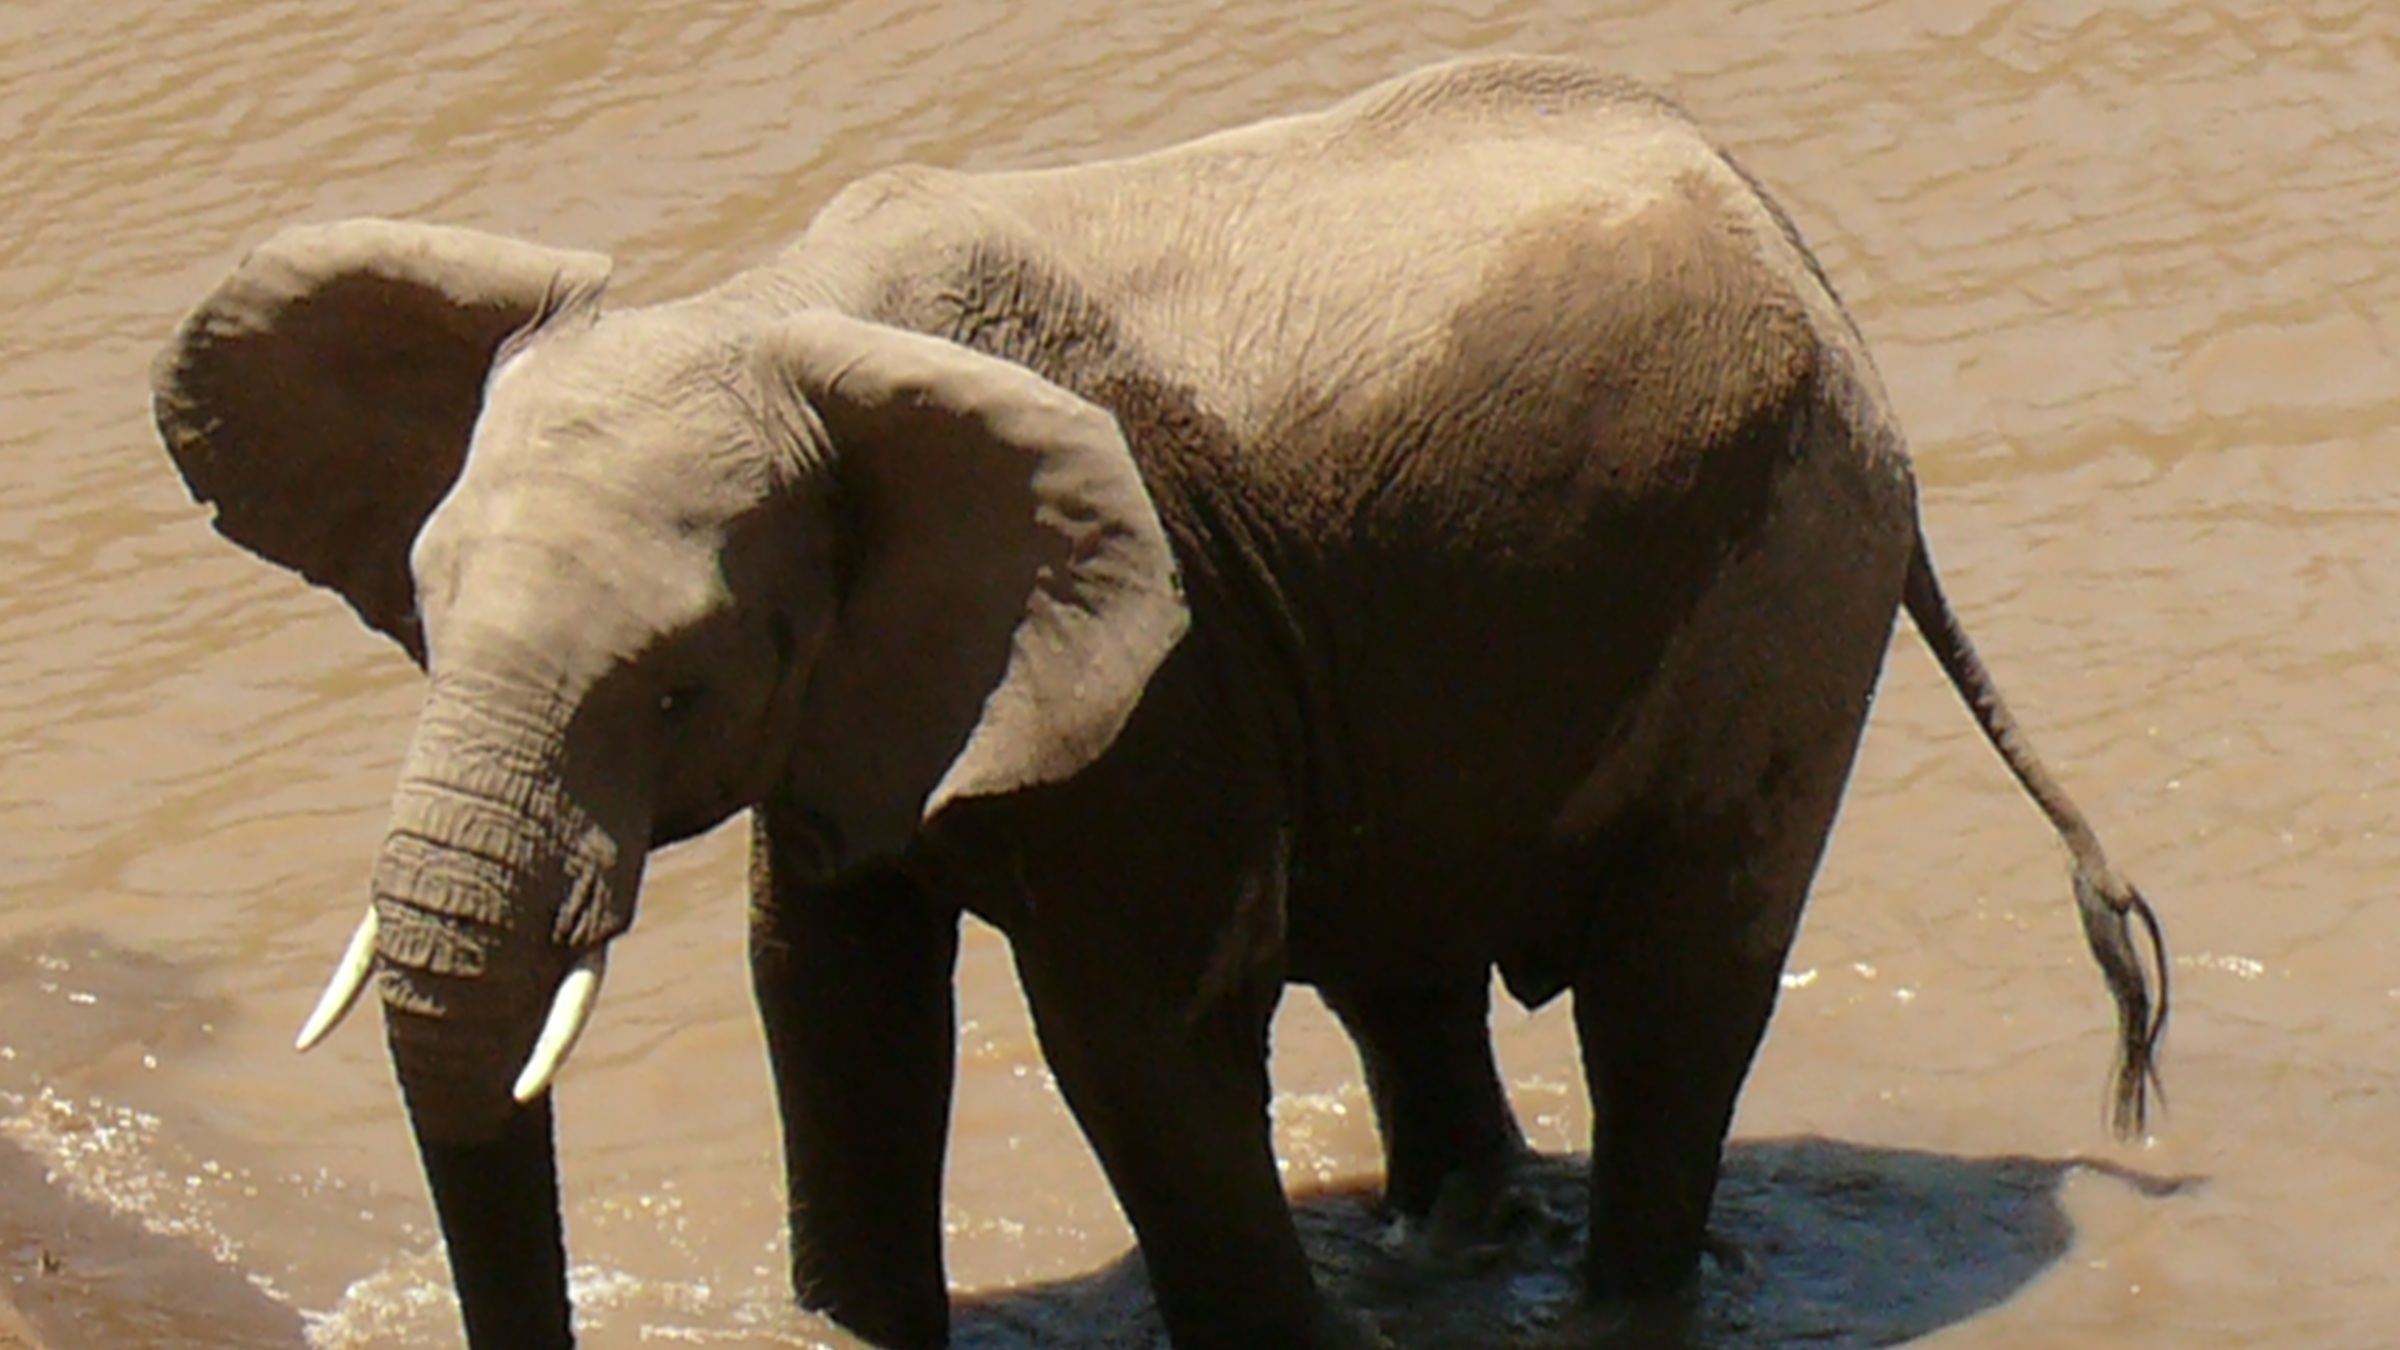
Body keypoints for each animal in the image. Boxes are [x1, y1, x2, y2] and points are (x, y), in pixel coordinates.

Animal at [151, 54, 2167, 1350]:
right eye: (420, 614)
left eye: (679, 683)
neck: (770, 305)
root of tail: (1802, 257)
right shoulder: (876, 694)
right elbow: (832, 998)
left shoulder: (1168, 665)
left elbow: (1131, 1035)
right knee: (1404, 964)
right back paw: (1460, 1239)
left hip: (1790, 577)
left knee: (1672, 994)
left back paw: (1605, 1297)